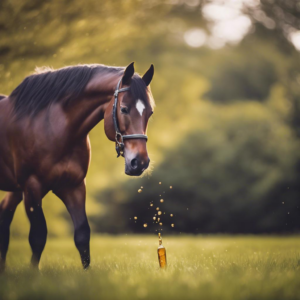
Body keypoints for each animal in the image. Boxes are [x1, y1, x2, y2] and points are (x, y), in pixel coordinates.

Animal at [0, 62, 155, 270]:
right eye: (123, 109)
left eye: (150, 112)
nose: (140, 162)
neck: (52, 127)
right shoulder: (32, 187)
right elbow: (38, 236)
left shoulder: (74, 186)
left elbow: (82, 235)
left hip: (16, 189)